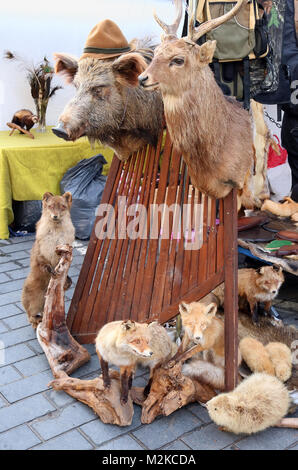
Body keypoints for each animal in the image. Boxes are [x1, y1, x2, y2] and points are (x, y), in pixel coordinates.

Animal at [21, 190, 74, 326]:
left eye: (62, 206)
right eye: (50, 206)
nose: (55, 216)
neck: (55, 237)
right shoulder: (42, 253)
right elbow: (45, 263)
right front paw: (50, 269)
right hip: (35, 300)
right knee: (31, 317)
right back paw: (37, 321)